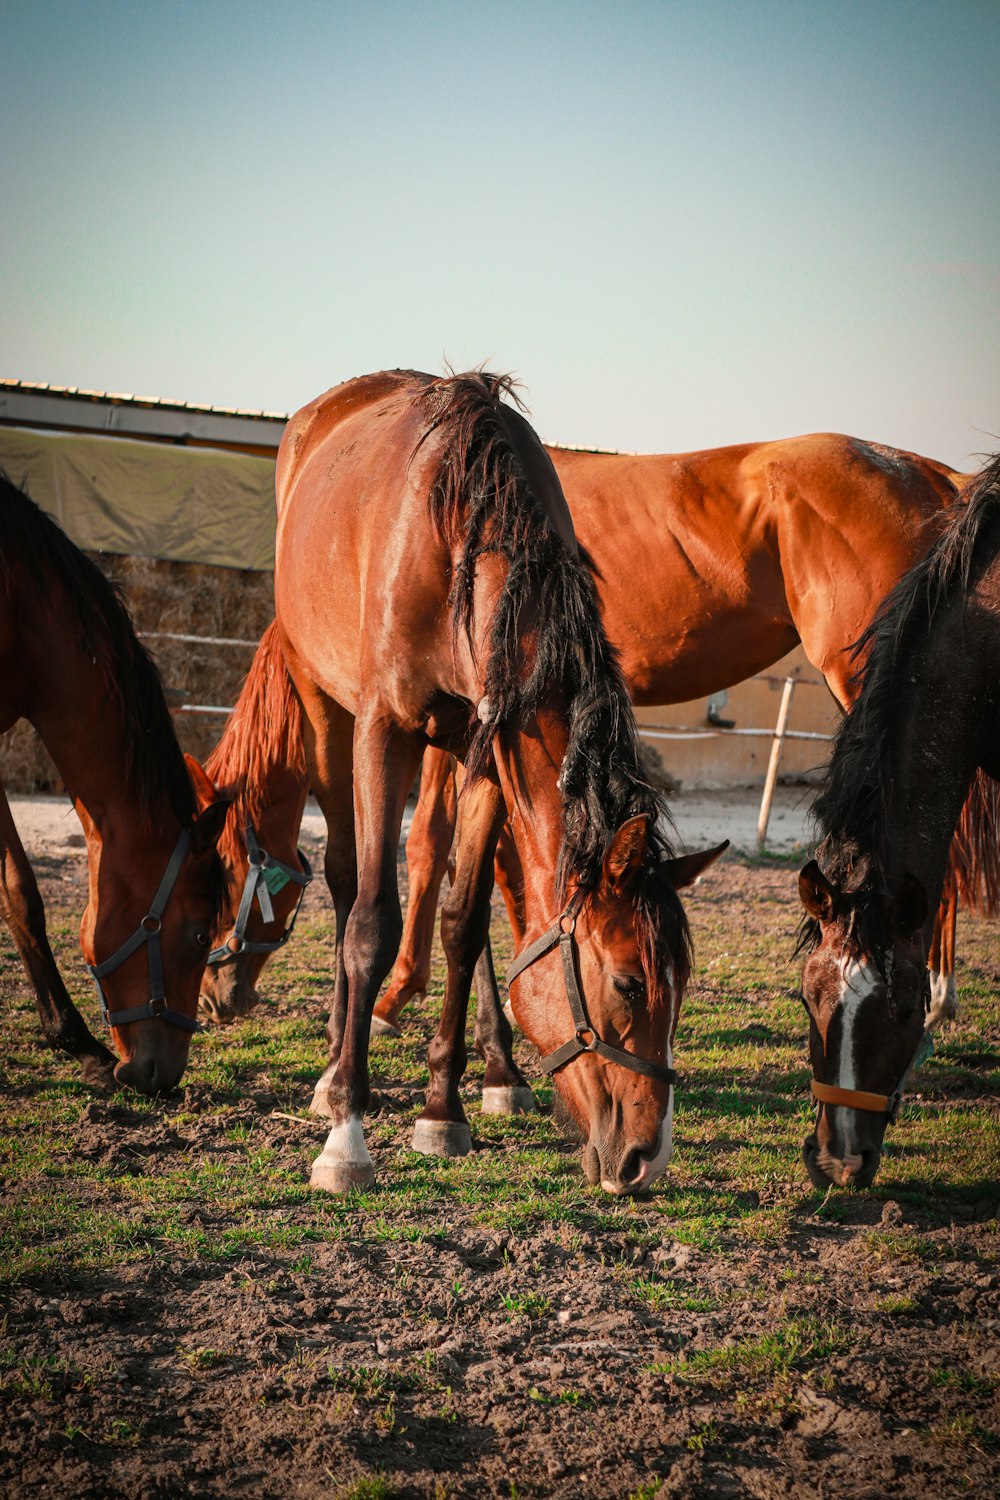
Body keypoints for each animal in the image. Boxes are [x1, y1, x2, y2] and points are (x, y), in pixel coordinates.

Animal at [274, 372, 728, 1194]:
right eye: (628, 984)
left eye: (681, 984)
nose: (647, 1159)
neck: (465, 540)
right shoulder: (384, 729)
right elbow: (371, 924)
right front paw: (347, 1137)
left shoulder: (486, 748)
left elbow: (462, 919)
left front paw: (442, 1112)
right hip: (323, 702)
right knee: (344, 880)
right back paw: (332, 1069)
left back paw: (493, 1072)